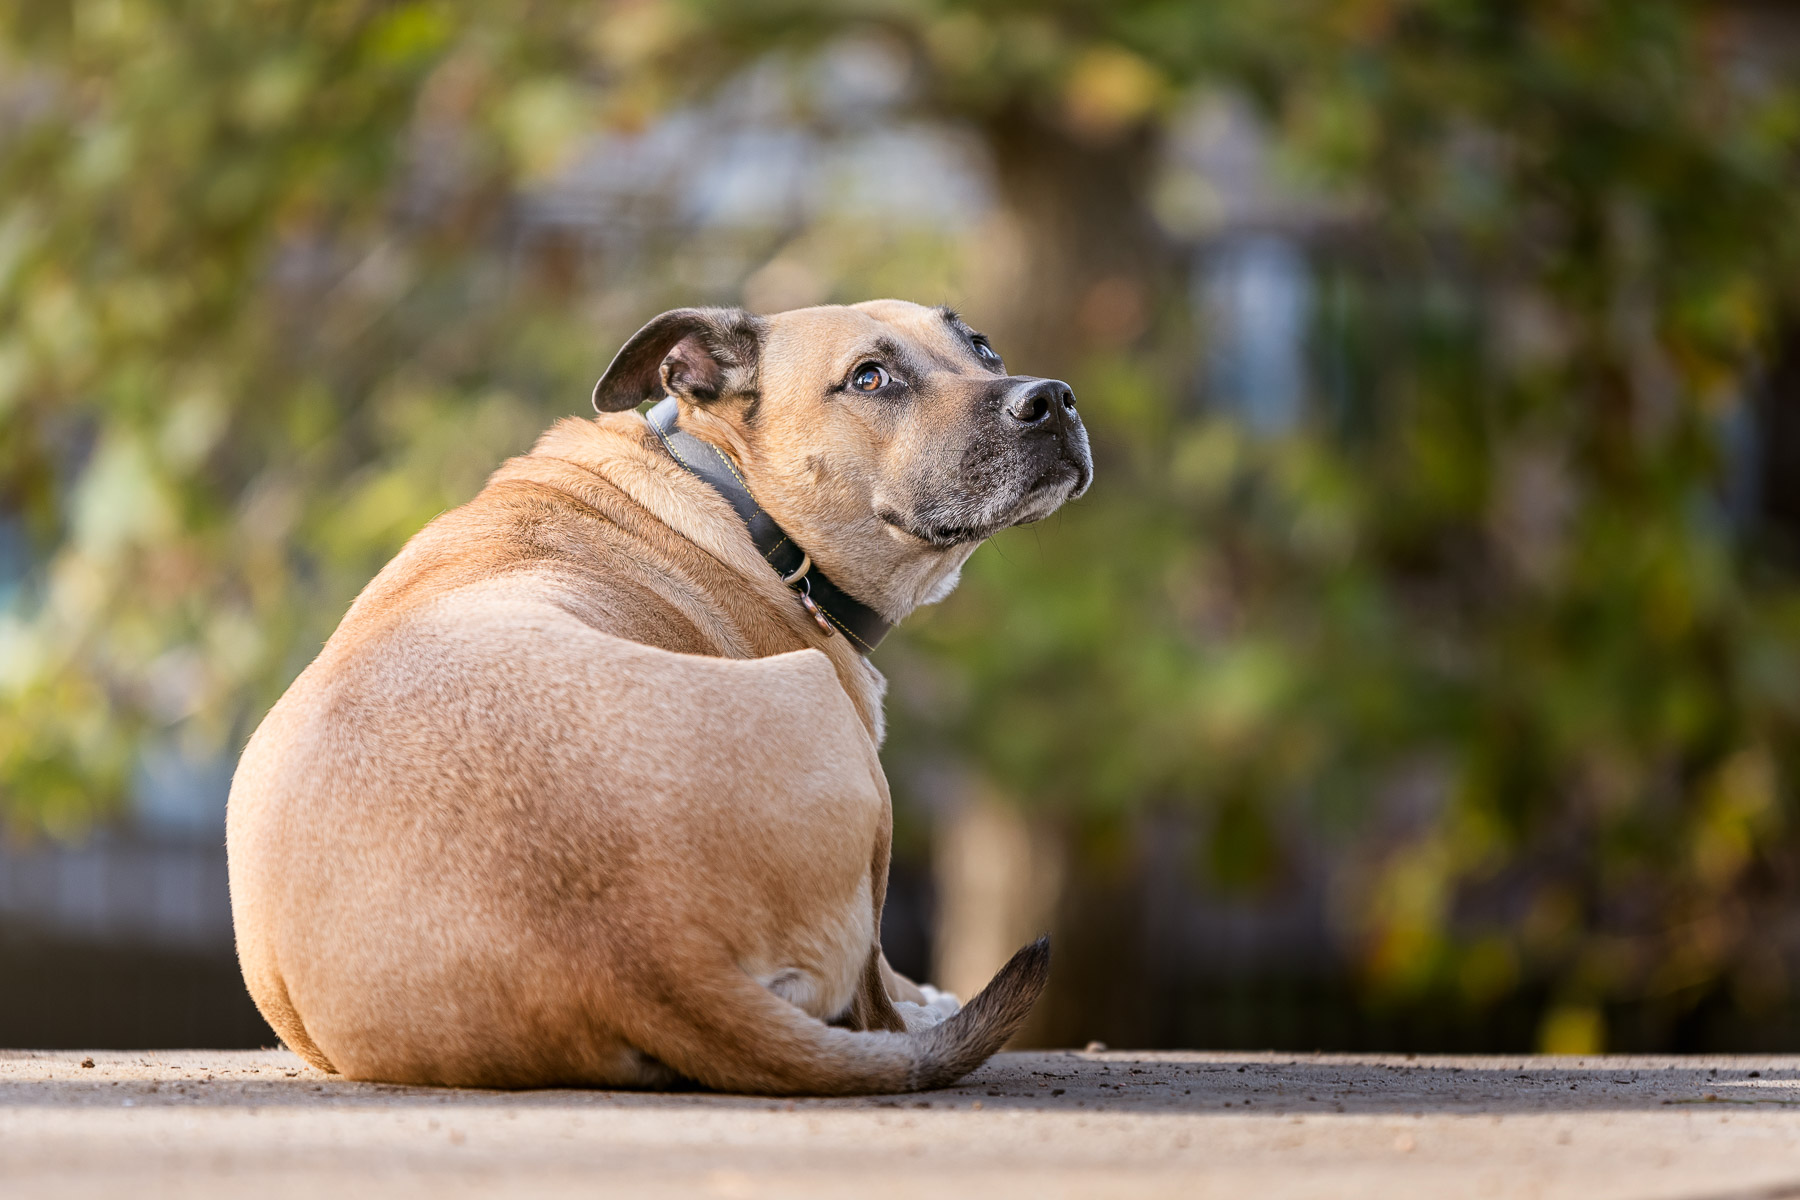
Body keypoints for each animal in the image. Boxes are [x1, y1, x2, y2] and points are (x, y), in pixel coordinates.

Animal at [230, 302, 1087, 1101]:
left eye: (981, 348)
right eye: (871, 379)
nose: (1051, 399)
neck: (735, 495)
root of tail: (638, 949)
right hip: (822, 714)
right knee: (871, 1004)